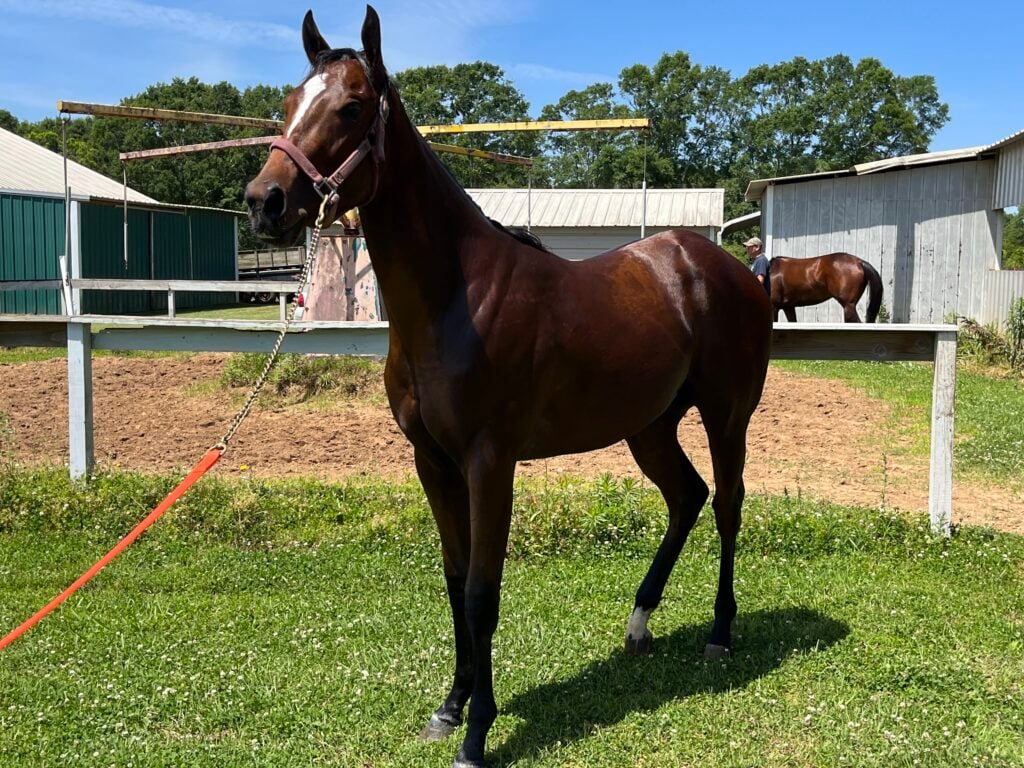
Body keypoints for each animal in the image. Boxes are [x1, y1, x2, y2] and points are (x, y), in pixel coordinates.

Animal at [243, 7, 770, 768]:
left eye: (352, 107)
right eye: (288, 105)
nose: (265, 201)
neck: (456, 301)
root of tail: (724, 267)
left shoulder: (490, 464)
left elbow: (481, 593)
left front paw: (477, 732)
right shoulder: (432, 463)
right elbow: (452, 578)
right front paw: (450, 705)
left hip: (727, 416)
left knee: (727, 506)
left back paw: (720, 634)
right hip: (648, 427)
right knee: (687, 497)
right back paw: (639, 623)